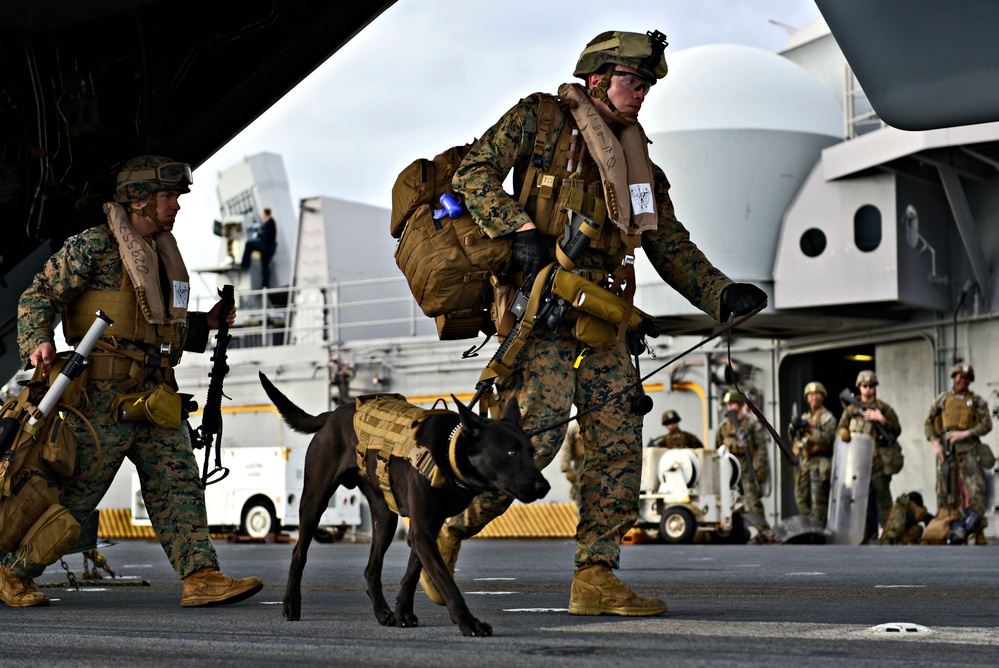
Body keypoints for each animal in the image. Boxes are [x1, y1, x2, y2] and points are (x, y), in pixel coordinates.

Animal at [258, 370, 552, 636]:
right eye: (510, 452)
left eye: (531, 451)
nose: (544, 487)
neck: (447, 451)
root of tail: (332, 414)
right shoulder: (422, 531)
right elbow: (447, 583)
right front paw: (469, 623)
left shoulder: (426, 530)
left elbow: (412, 573)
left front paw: (403, 613)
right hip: (315, 500)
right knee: (299, 552)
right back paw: (291, 604)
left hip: (385, 517)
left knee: (371, 569)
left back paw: (382, 611)